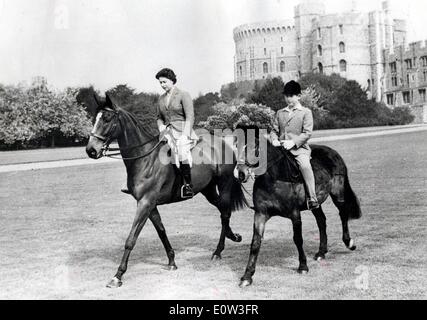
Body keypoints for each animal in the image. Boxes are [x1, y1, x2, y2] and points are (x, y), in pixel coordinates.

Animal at [85, 94, 247, 288]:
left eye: (107, 119)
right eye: (95, 119)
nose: (91, 150)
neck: (145, 157)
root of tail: (224, 143)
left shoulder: (145, 203)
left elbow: (131, 239)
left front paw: (118, 275)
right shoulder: (150, 205)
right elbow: (161, 231)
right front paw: (172, 261)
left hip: (224, 184)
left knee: (224, 213)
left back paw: (218, 251)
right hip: (207, 190)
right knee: (223, 210)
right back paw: (232, 236)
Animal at [236, 132, 362, 288]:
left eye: (254, 148)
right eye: (236, 147)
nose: (241, 173)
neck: (274, 178)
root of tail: (333, 152)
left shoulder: (294, 214)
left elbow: (298, 239)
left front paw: (303, 266)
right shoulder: (260, 214)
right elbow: (255, 243)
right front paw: (247, 276)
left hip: (337, 193)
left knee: (343, 214)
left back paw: (349, 242)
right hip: (315, 203)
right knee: (321, 221)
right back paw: (321, 252)